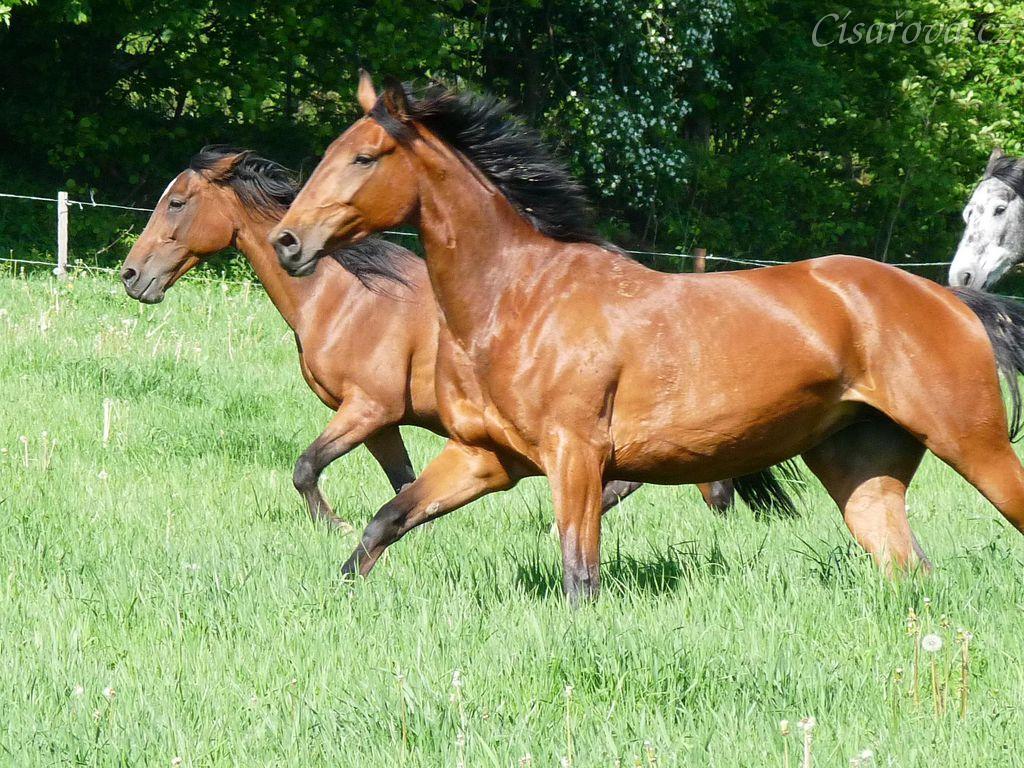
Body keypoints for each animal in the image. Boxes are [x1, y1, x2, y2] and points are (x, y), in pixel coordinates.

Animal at [118, 146, 787, 531]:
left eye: (177, 202)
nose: (131, 276)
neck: (347, 298)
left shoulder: (366, 409)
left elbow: (305, 469)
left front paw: (333, 528)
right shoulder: (382, 422)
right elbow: (403, 484)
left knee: (708, 487)